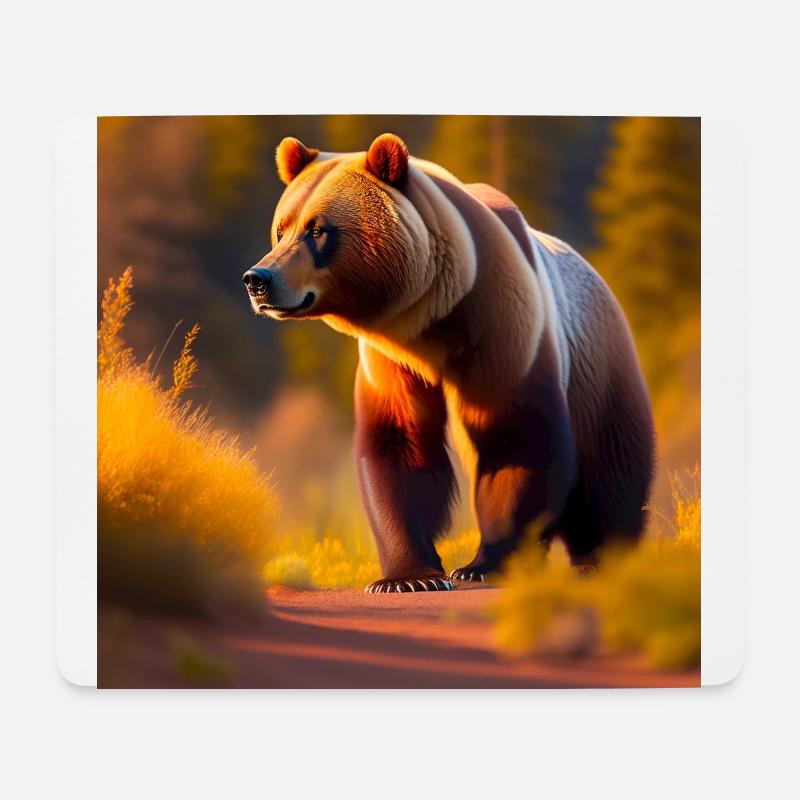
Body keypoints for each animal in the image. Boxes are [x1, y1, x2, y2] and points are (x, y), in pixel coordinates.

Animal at [242, 133, 654, 593]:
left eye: (318, 230)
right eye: (281, 228)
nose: (258, 279)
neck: (431, 319)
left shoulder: (504, 332)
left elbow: (516, 436)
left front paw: (482, 564)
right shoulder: (390, 362)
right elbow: (400, 445)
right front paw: (409, 577)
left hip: (598, 364)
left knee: (611, 467)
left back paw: (604, 557)